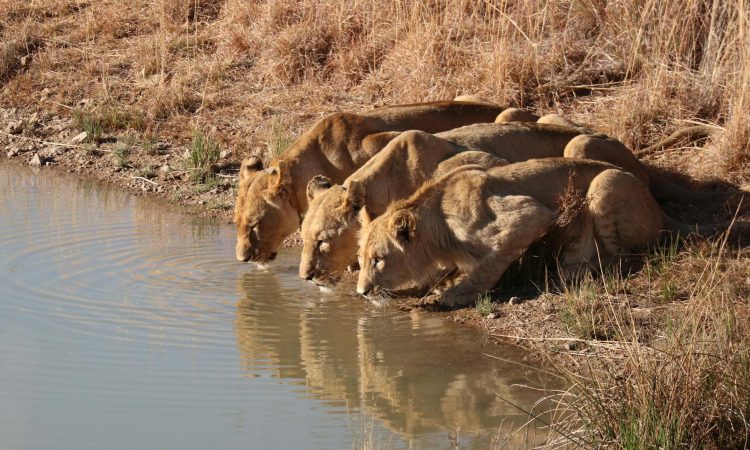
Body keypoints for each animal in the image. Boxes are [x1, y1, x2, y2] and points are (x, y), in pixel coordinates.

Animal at [356, 158, 668, 307]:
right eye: (360, 259)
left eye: (378, 260)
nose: (361, 292)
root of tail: (660, 210)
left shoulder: (530, 214)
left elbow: (488, 264)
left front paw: (456, 293)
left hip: (605, 183)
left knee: (620, 256)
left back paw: (574, 269)